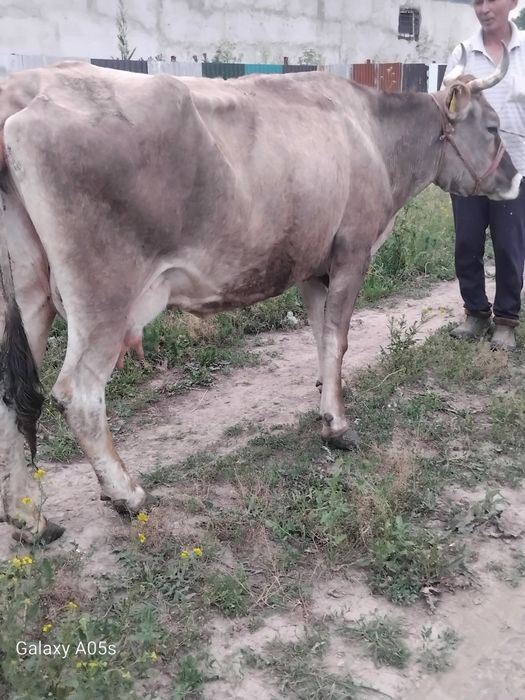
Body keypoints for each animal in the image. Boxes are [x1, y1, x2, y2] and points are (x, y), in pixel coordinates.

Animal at [0, 47, 521, 544]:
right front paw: (338, 426)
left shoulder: (314, 265)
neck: (372, 134)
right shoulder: (352, 252)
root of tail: (28, 90)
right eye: (492, 127)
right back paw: (127, 494)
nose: (515, 180)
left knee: (13, 394)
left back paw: (31, 519)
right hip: (104, 295)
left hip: (29, 294)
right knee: (78, 393)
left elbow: (320, 336)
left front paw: (327, 397)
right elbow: (337, 339)